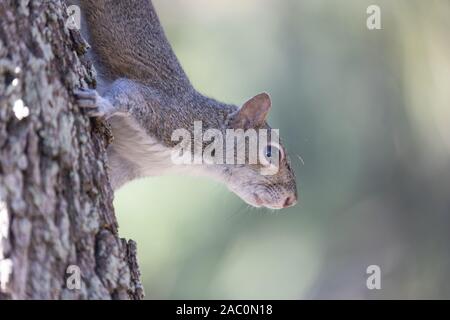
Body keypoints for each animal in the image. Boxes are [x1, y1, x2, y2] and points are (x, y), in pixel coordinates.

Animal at [70, 0, 298, 209]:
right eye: (269, 153)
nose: (291, 200)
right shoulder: (168, 114)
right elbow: (126, 94)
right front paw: (100, 104)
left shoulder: (127, 163)